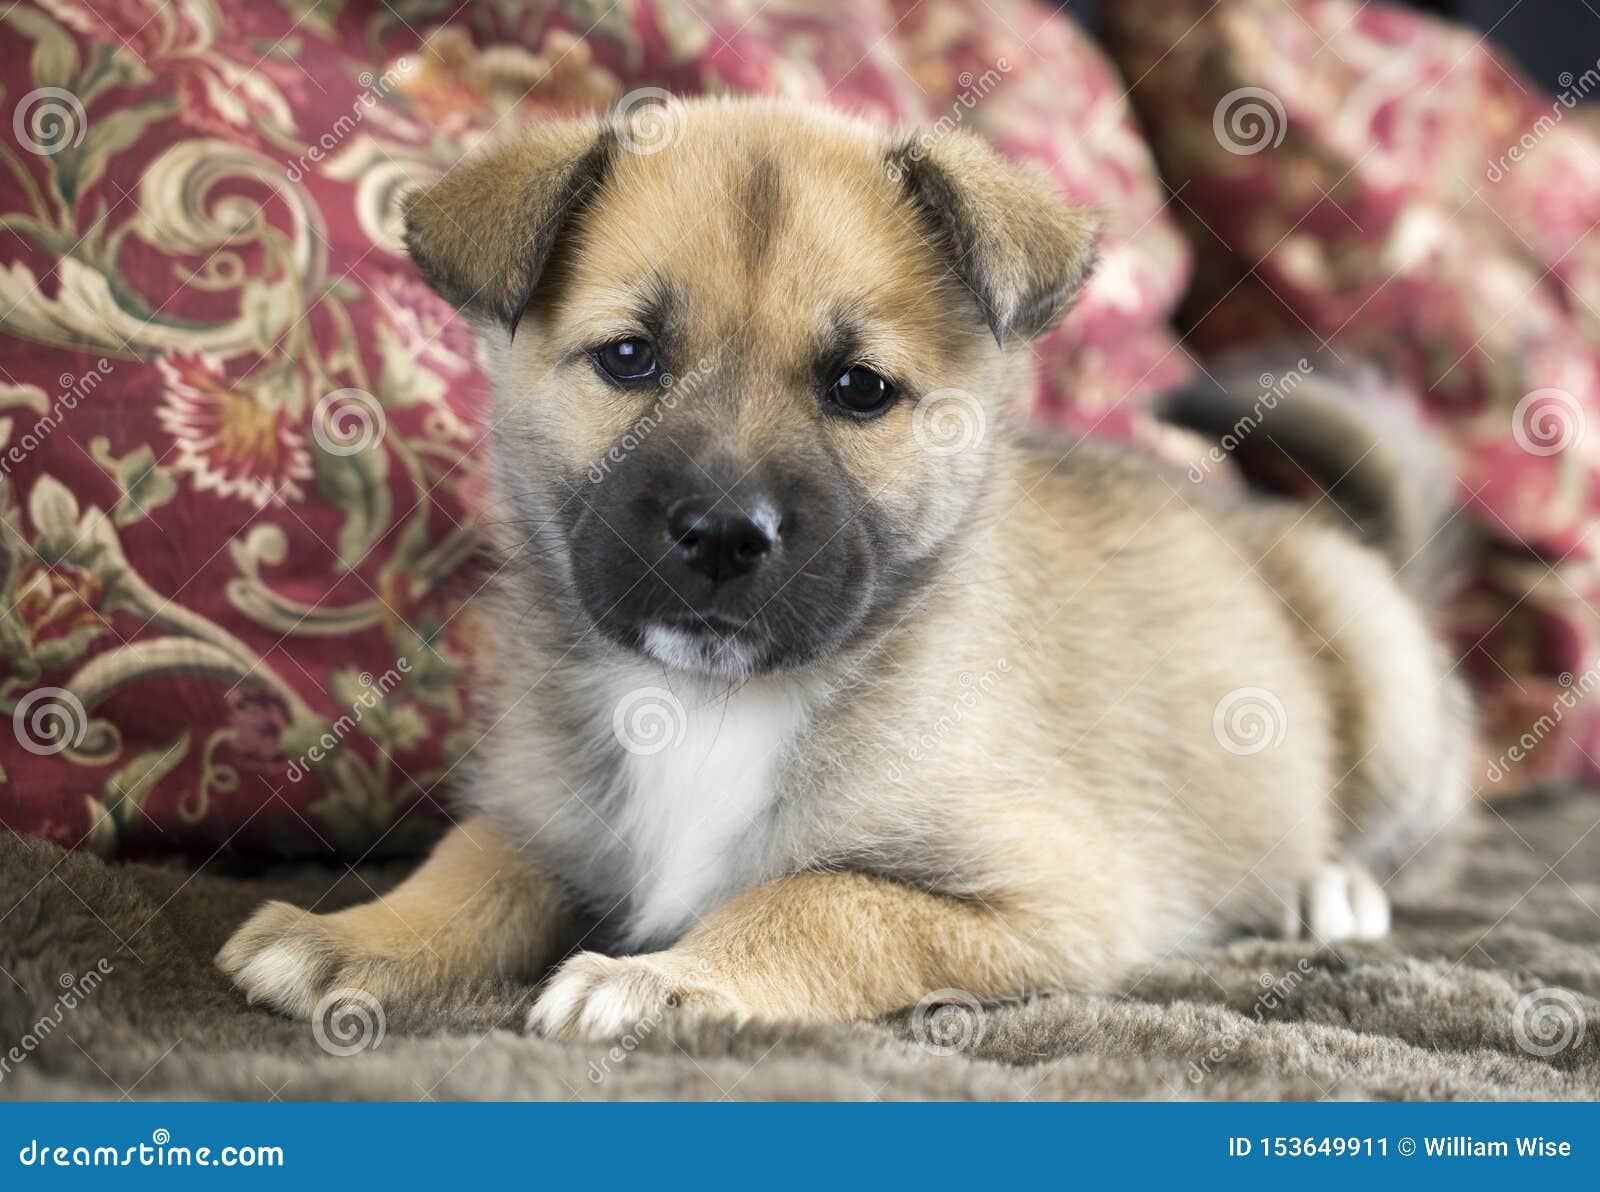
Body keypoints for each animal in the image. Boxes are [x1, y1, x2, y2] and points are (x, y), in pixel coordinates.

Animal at [216, 97, 1472, 1036]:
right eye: (629, 357)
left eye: (858, 387)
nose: (724, 535)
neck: (709, 702)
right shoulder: (546, 819)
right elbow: (472, 862)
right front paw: (352, 934)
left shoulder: (1052, 894)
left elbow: (820, 897)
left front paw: (666, 976)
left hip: (1381, 681)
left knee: (1412, 841)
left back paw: (1328, 884)